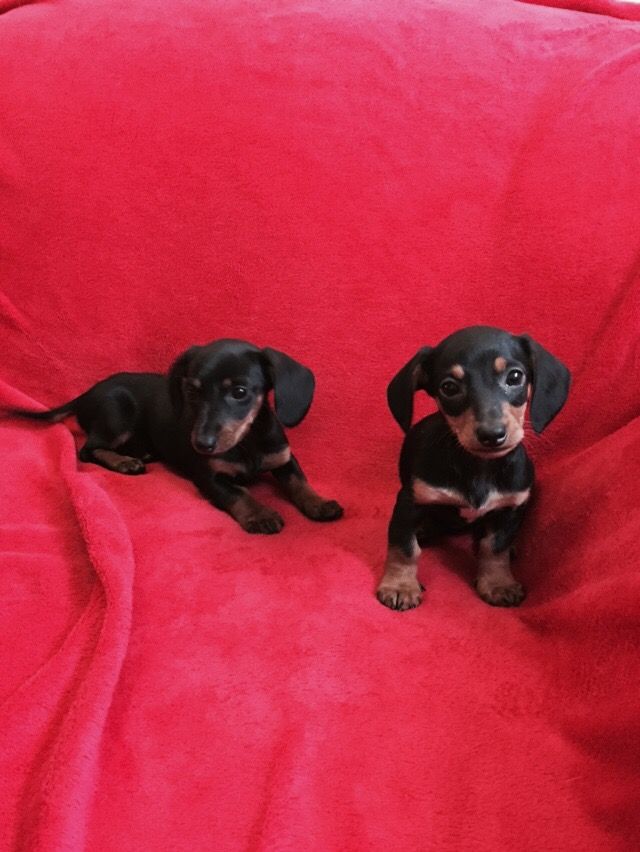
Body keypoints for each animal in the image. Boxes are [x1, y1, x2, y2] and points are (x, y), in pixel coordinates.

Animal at [12, 338, 342, 532]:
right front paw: (260, 513)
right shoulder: (209, 476)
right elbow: (238, 492)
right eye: (192, 391)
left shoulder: (284, 458)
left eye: (239, 392)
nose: (202, 444)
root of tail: (86, 394)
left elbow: (300, 482)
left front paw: (319, 503)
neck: (247, 441)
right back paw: (124, 462)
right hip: (117, 412)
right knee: (88, 448)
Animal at [376, 326, 568, 612]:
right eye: (449, 387)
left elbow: (495, 548)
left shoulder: (511, 507)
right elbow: (404, 547)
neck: (478, 466)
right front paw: (400, 586)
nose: (492, 435)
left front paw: (498, 583)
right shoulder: (410, 502)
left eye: (515, 376)